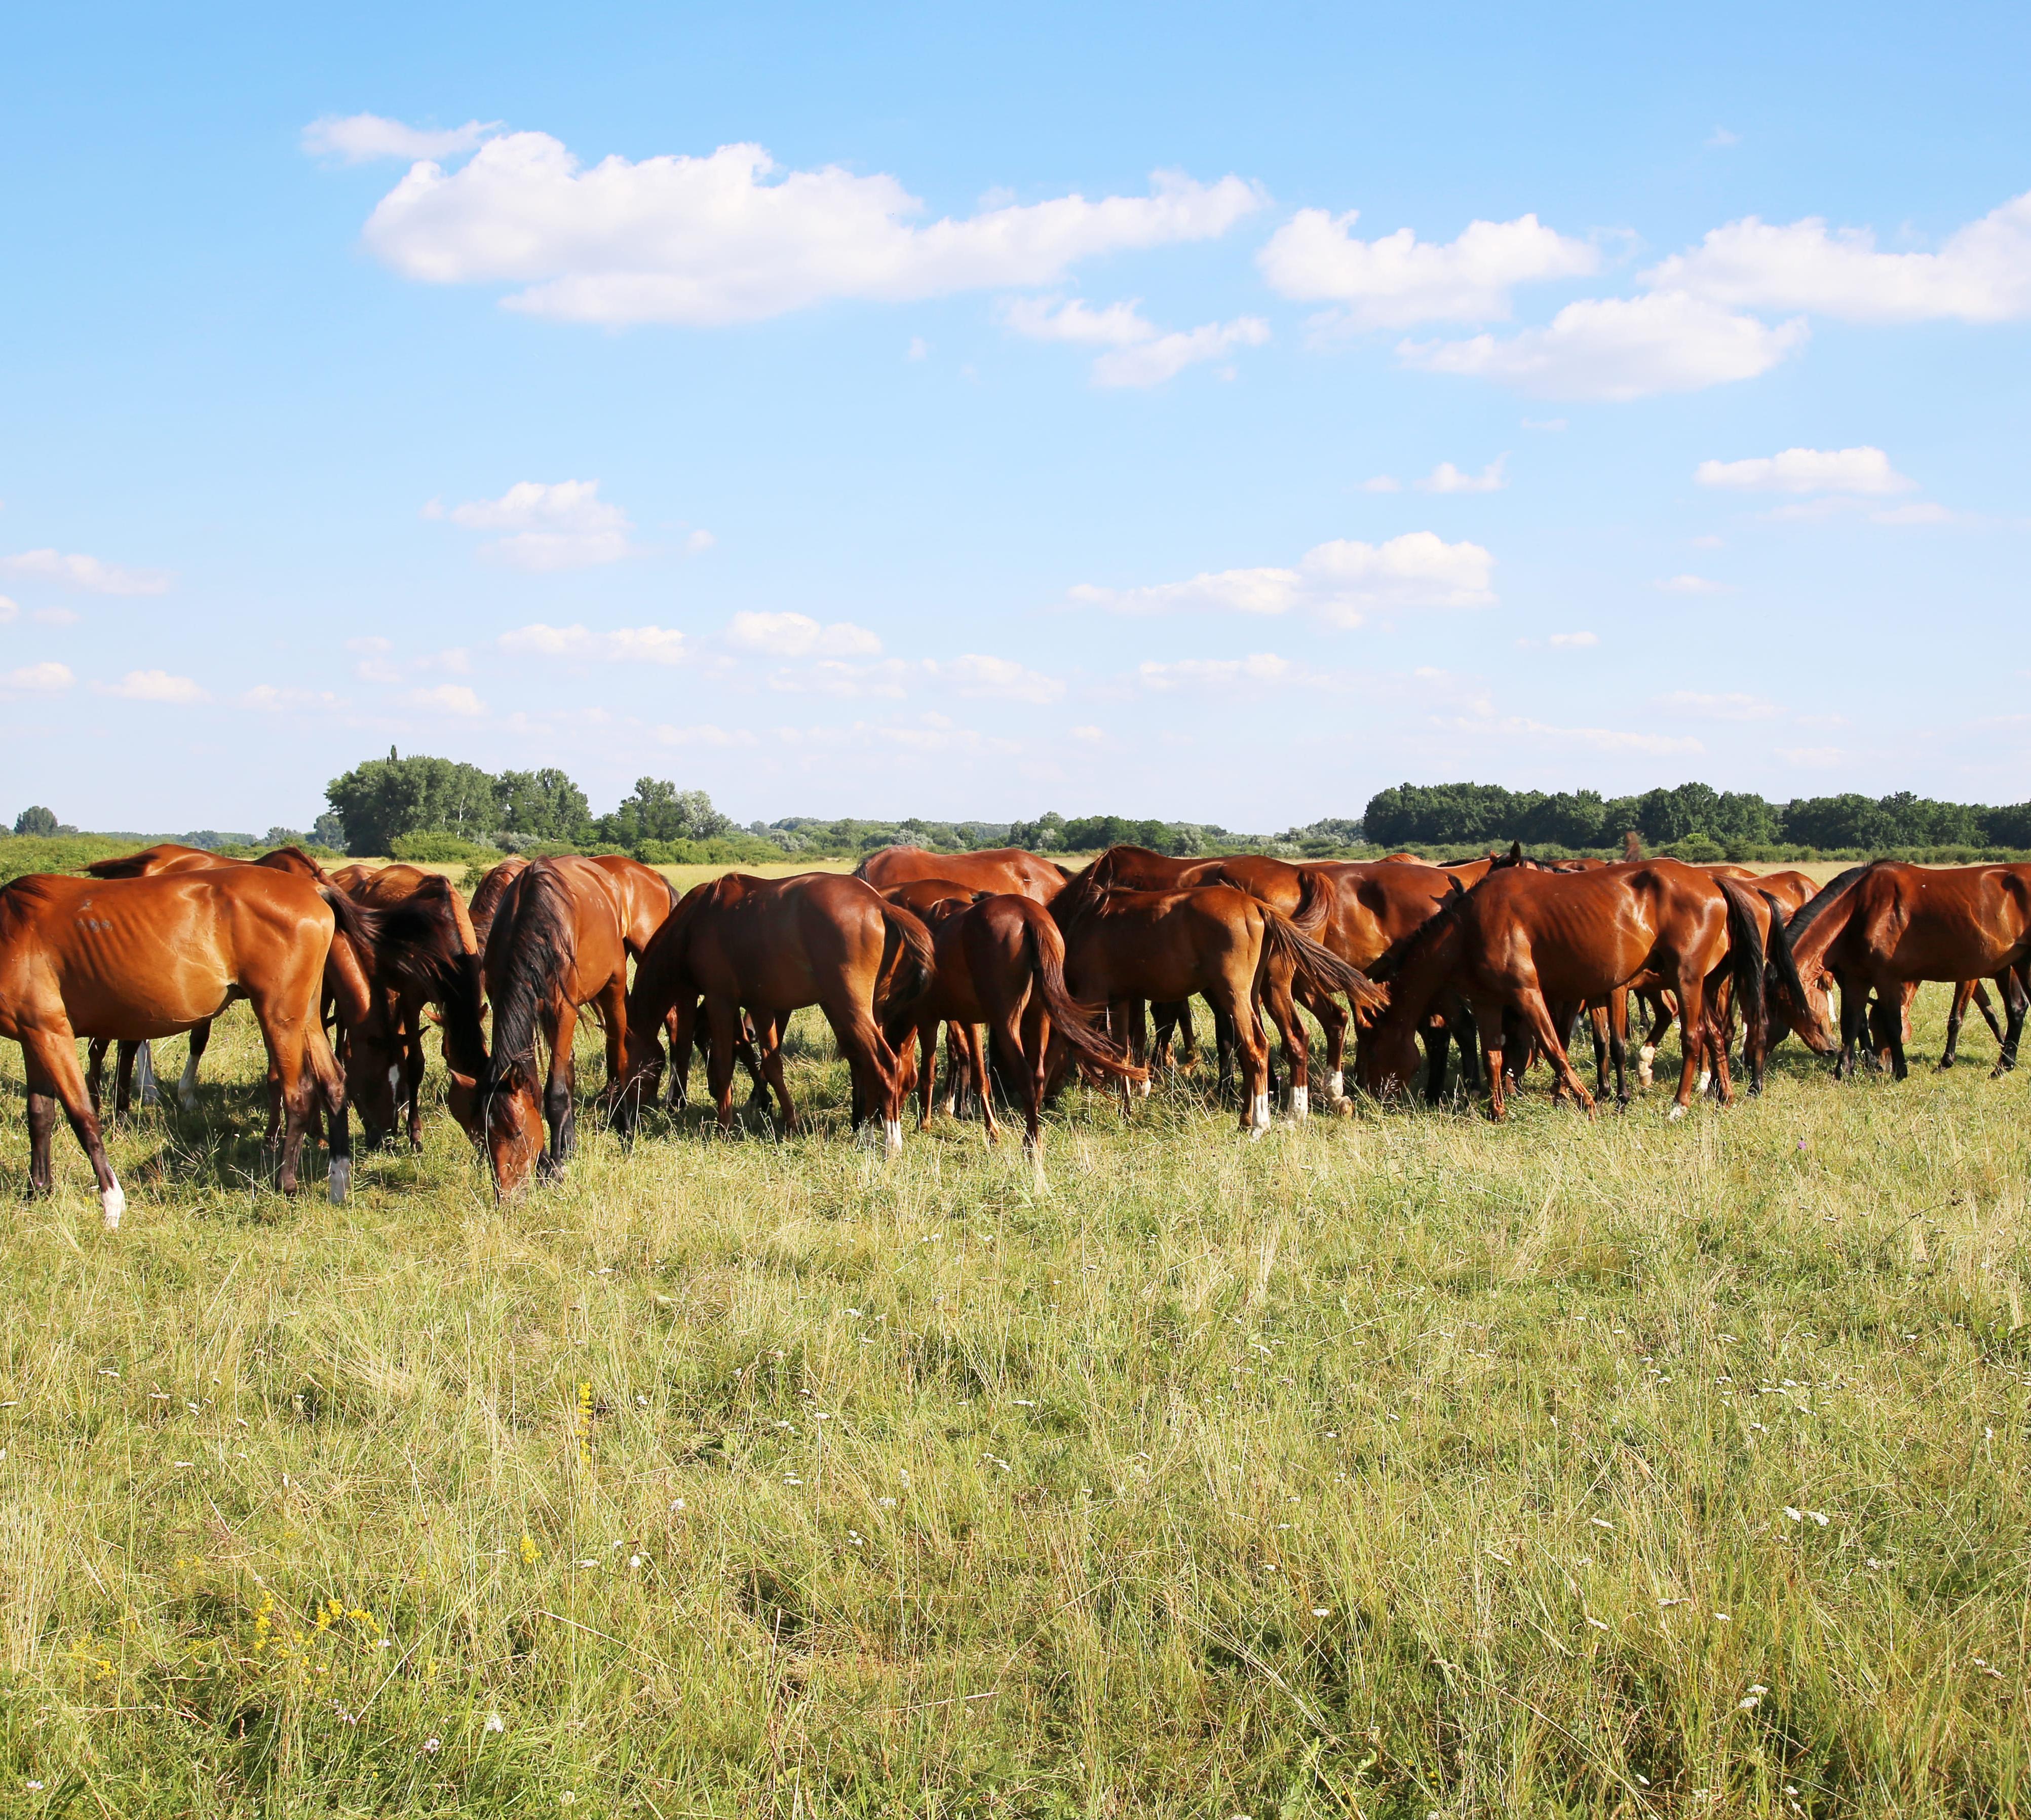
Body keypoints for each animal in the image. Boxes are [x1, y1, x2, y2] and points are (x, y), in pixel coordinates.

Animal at [0, 867, 366, 1223]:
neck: (11, 929)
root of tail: (314, 890)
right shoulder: (34, 1038)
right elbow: (40, 1116)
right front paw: (38, 1192)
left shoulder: (52, 1034)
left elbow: (83, 1116)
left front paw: (112, 1203)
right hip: (306, 1016)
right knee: (333, 1084)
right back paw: (338, 1180)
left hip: (280, 1017)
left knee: (299, 1095)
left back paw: (286, 1183)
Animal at [615, 872, 933, 1148]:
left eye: (628, 1065)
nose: (621, 1117)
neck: (696, 921)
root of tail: (879, 905)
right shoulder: (760, 1006)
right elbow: (771, 1064)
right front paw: (791, 1122)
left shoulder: (721, 1001)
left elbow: (725, 1063)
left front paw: (724, 1126)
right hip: (869, 1012)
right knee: (871, 1064)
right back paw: (867, 1131)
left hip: (850, 1008)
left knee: (885, 1063)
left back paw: (890, 1141)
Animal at [1358, 860, 1793, 1119]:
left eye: (1374, 1047)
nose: (1370, 1094)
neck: (1467, 927)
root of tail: (1711, 879)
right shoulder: (1487, 1001)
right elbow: (1493, 1056)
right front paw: (1497, 1111)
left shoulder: (1528, 993)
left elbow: (1554, 1048)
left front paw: (1585, 1098)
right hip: (1702, 984)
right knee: (1716, 1033)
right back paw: (1725, 1094)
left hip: (1685, 979)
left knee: (1693, 1035)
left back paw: (1678, 1104)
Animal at [1773, 861, 2031, 1079]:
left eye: (1789, 1007)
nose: (1881, 1066)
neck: (1860, 907)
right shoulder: (1857, 978)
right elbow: (1852, 1022)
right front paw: (1843, 1071)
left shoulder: (1887, 977)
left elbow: (1897, 1023)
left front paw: (1901, 1071)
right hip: (2016, 965)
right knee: (2018, 1007)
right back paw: (2003, 1066)